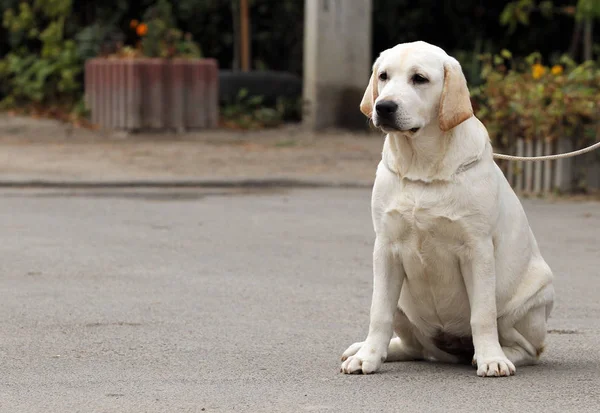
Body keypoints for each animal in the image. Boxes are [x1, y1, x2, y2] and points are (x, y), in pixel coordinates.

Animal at [340, 41, 556, 376]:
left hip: (531, 299)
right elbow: (379, 313)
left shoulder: (477, 250)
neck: (421, 167)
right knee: (414, 347)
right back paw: (369, 349)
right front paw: (368, 356)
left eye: (419, 78)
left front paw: (491, 359)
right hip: (404, 304)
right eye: (384, 76)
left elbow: (482, 314)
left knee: (528, 348)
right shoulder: (386, 248)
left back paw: (494, 355)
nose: (384, 107)